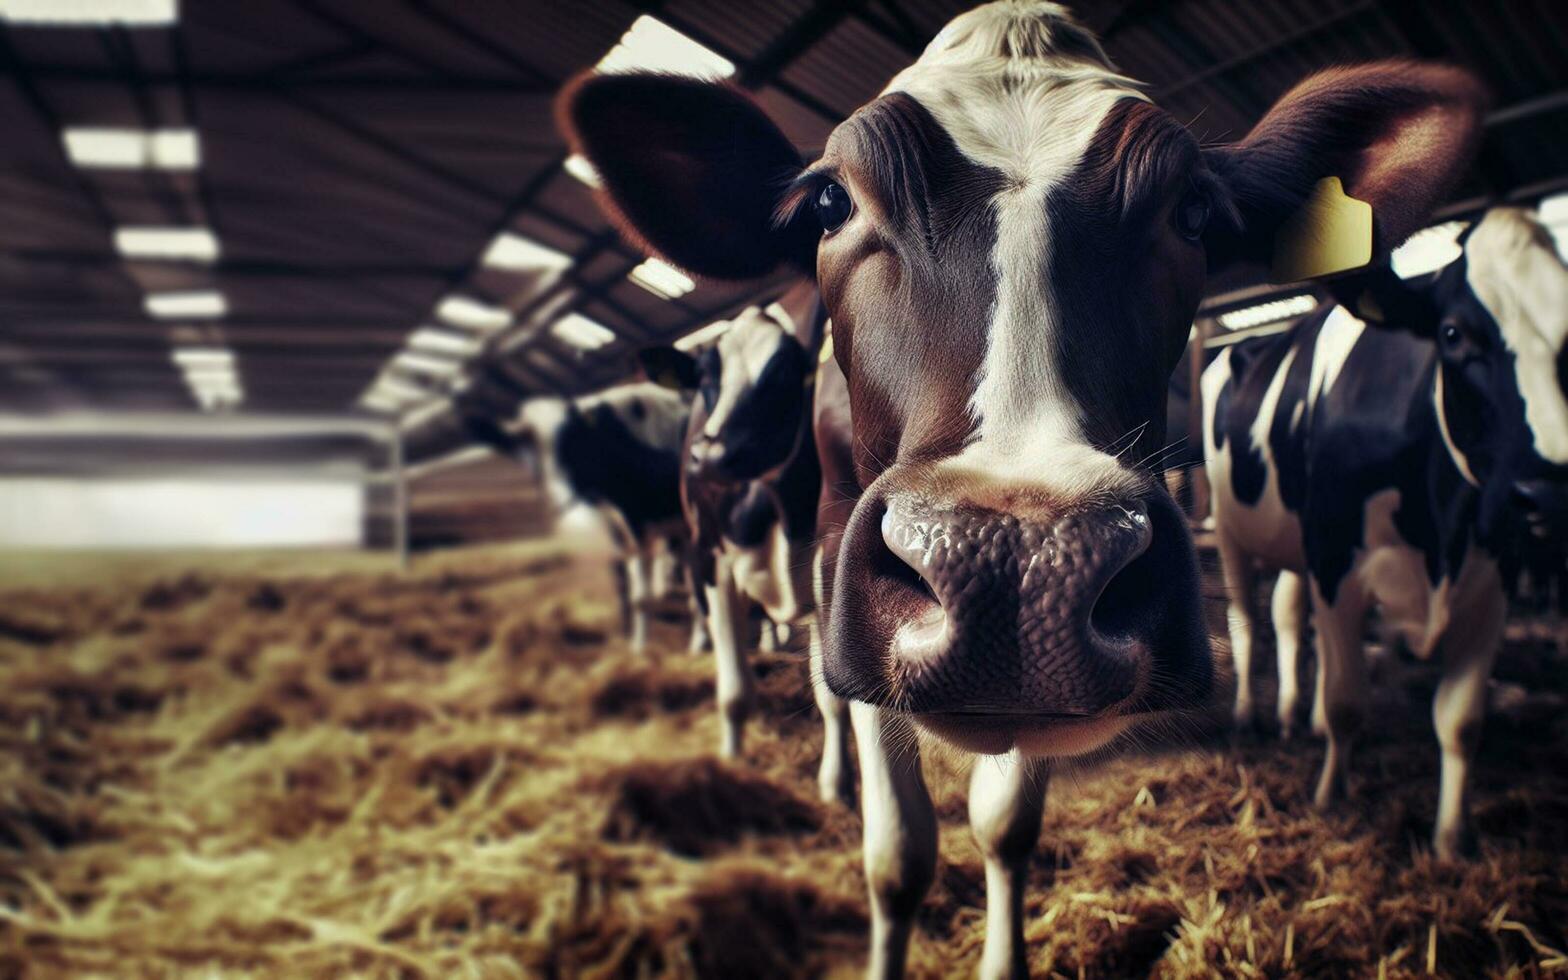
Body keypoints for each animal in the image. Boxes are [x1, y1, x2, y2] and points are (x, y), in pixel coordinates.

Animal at [454, 370, 699, 652]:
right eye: (526, 451)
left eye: (571, 441)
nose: (561, 499)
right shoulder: (623, 525)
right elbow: (625, 582)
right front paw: (629, 638)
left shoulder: (646, 521)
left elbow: (649, 591)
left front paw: (641, 648)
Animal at [561, 3, 1480, 972]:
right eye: (830, 201)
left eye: (1193, 211)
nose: (1016, 568)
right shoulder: (823, 559)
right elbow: (896, 852)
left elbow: (1004, 827)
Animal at [1204, 208, 1568, 852]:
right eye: (1453, 334)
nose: (1548, 495)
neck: (1440, 534)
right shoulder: (1336, 563)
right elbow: (1347, 700)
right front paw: (1331, 796)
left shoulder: (1493, 578)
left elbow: (1460, 720)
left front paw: (1451, 839)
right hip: (1229, 528)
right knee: (1246, 619)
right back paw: (1249, 713)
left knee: (1288, 616)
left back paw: (1295, 716)